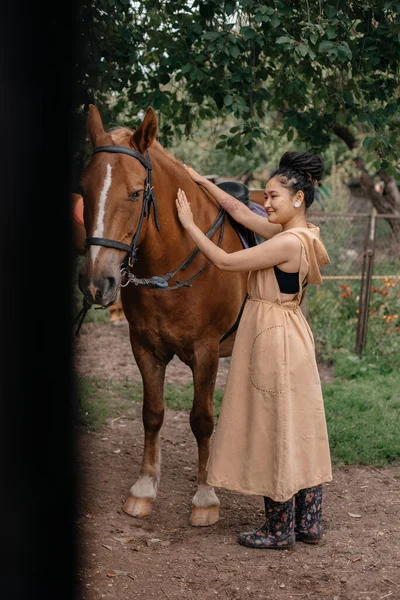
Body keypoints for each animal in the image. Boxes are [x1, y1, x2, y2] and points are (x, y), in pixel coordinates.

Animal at [76, 105, 248, 528]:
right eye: (84, 190)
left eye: (136, 193)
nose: (96, 282)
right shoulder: (144, 347)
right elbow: (152, 414)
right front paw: (143, 489)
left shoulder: (205, 352)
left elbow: (201, 420)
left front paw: (205, 497)